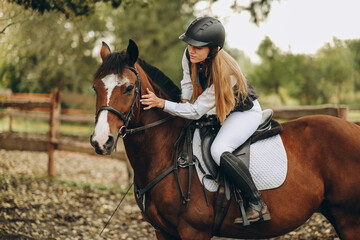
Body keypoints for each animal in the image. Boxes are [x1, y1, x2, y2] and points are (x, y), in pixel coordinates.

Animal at [89, 40, 360, 239]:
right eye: (95, 88)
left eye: (128, 88)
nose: (101, 141)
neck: (168, 154)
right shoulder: (163, 232)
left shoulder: (193, 232)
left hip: (349, 219)